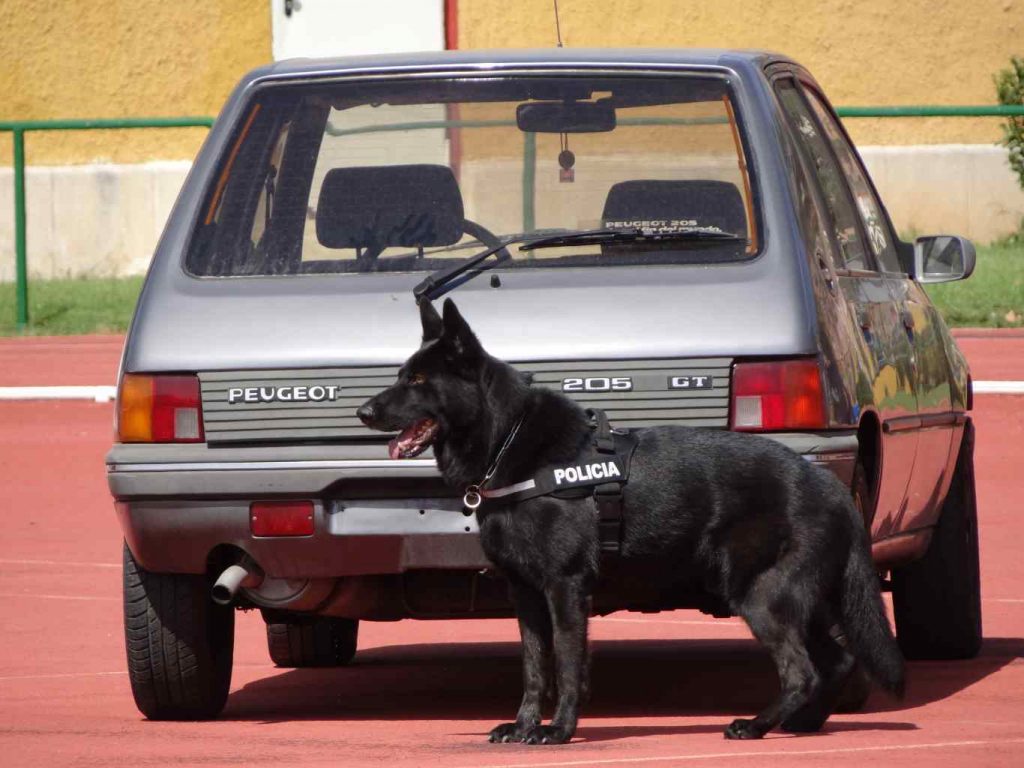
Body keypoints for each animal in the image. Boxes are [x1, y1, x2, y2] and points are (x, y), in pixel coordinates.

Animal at [358, 299, 905, 745]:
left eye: (418, 381)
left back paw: (755, 726)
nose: (363, 411)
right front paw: (522, 726)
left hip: (760, 597)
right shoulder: (525, 594)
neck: (508, 445)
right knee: (835, 660)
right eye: (401, 375)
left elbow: (568, 662)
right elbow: (534, 667)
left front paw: (559, 731)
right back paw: (802, 724)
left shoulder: (565, 588)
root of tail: (829, 487)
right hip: (793, 599)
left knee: (802, 671)